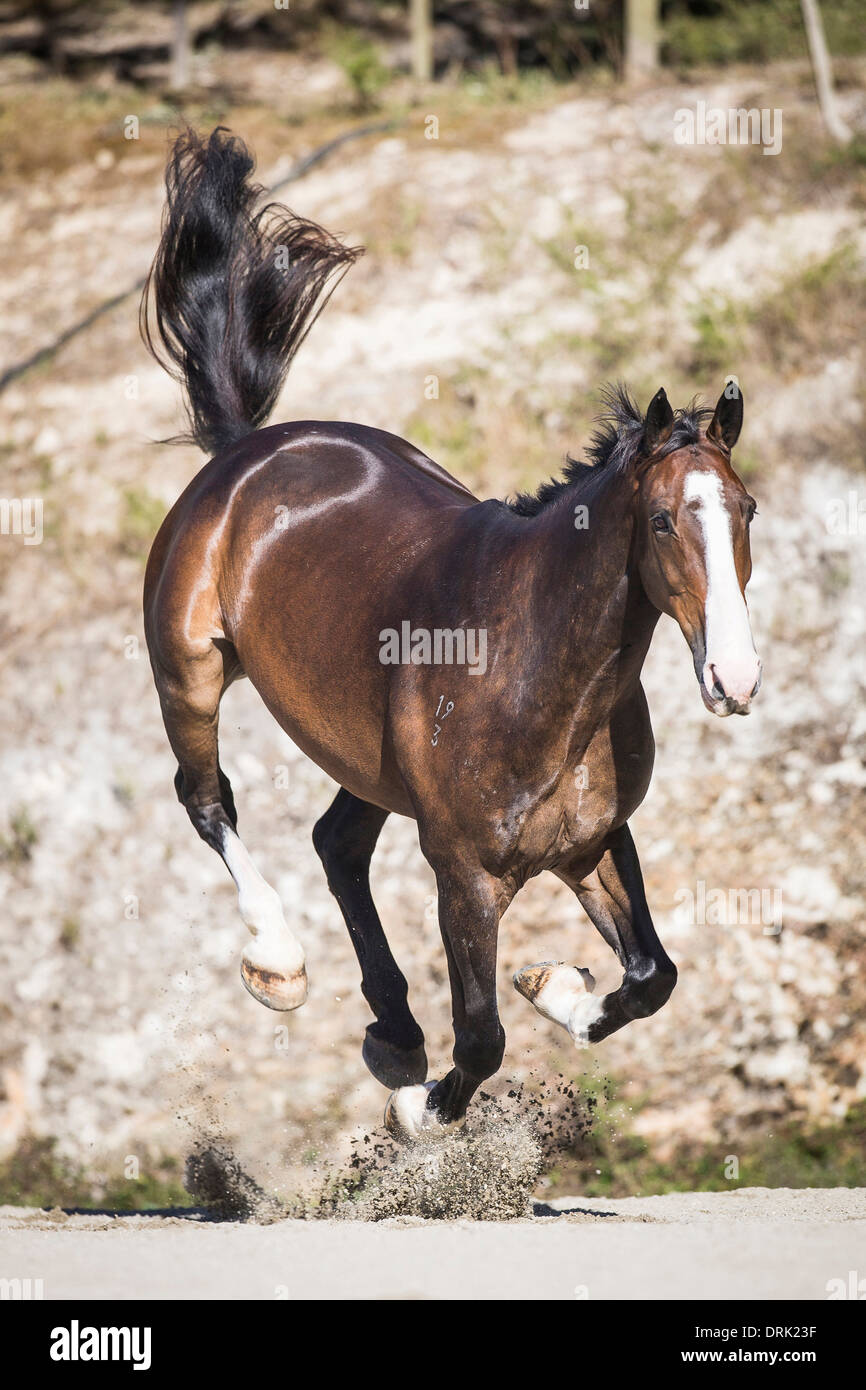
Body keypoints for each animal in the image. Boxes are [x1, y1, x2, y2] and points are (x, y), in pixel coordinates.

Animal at [140, 127, 756, 1139]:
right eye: (665, 521)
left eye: (747, 511)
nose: (735, 680)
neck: (540, 680)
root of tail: (243, 452)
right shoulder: (464, 875)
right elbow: (483, 1039)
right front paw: (417, 1112)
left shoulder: (592, 843)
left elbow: (650, 977)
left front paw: (555, 985)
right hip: (188, 671)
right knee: (207, 799)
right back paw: (280, 964)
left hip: (368, 765)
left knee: (337, 843)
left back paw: (393, 1031)